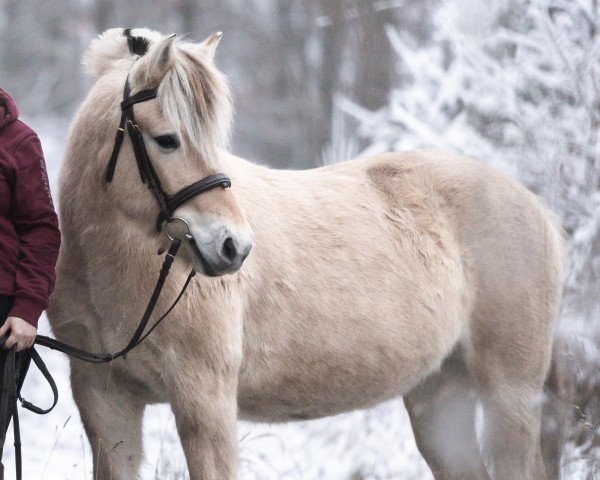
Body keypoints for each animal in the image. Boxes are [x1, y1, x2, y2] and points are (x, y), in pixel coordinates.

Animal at [45, 28, 568, 478]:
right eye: (167, 139)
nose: (234, 247)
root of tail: (537, 208)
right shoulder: (105, 400)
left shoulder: (205, 400)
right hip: (438, 395)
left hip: (509, 396)